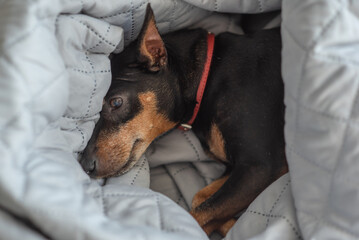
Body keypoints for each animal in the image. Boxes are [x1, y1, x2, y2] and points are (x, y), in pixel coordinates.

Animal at [80, 4, 288, 237]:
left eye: (116, 103)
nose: (85, 165)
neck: (208, 76)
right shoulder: (243, 168)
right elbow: (202, 199)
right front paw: (232, 224)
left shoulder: (260, 166)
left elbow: (199, 213)